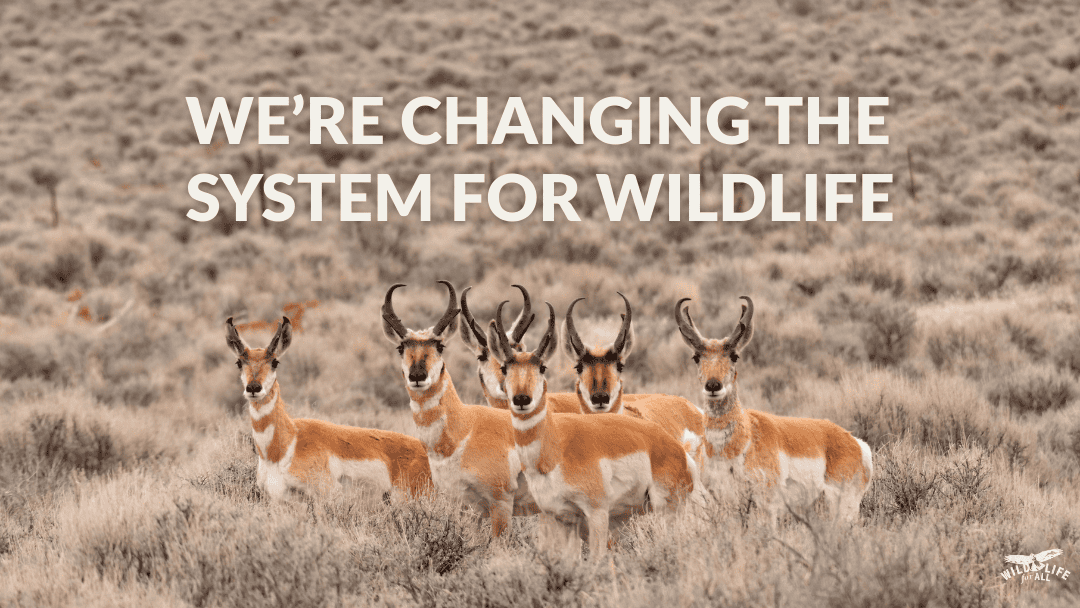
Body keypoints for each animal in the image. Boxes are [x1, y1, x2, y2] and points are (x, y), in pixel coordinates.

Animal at [382, 280, 535, 537]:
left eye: (440, 345)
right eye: (401, 348)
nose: (417, 376)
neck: (465, 429)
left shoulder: (501, 504)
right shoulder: (465, 508)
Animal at [675, 296, 873, 524]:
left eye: (734, 356)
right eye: (696, 357)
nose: (713, 385)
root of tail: (856, 442)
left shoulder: (766, 506)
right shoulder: (727, 504)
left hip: (843, 509)